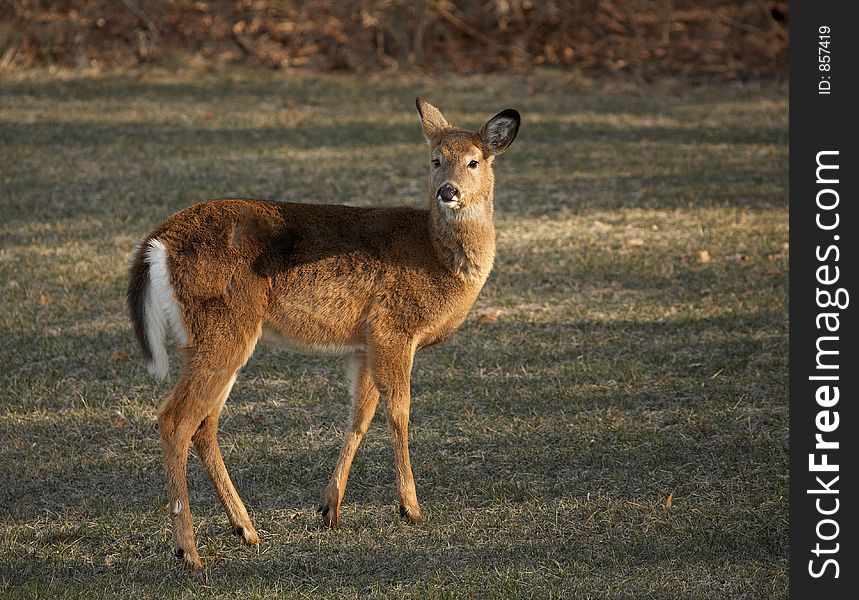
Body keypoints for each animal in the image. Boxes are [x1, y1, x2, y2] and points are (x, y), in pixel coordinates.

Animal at [124, 96, 520, 568]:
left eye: (474, 161)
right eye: (435, 159)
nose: (448, 191)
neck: (437, 257)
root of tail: (157, 243)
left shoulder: (364, 343)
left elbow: (360, 416)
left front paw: (329, 507)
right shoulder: (393, 327)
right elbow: (399, 410)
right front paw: (411, 507)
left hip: (208, 338)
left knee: (205, 424)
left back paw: (247, 530)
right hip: (223, 327)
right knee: (175, 420)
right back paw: (189, 549)